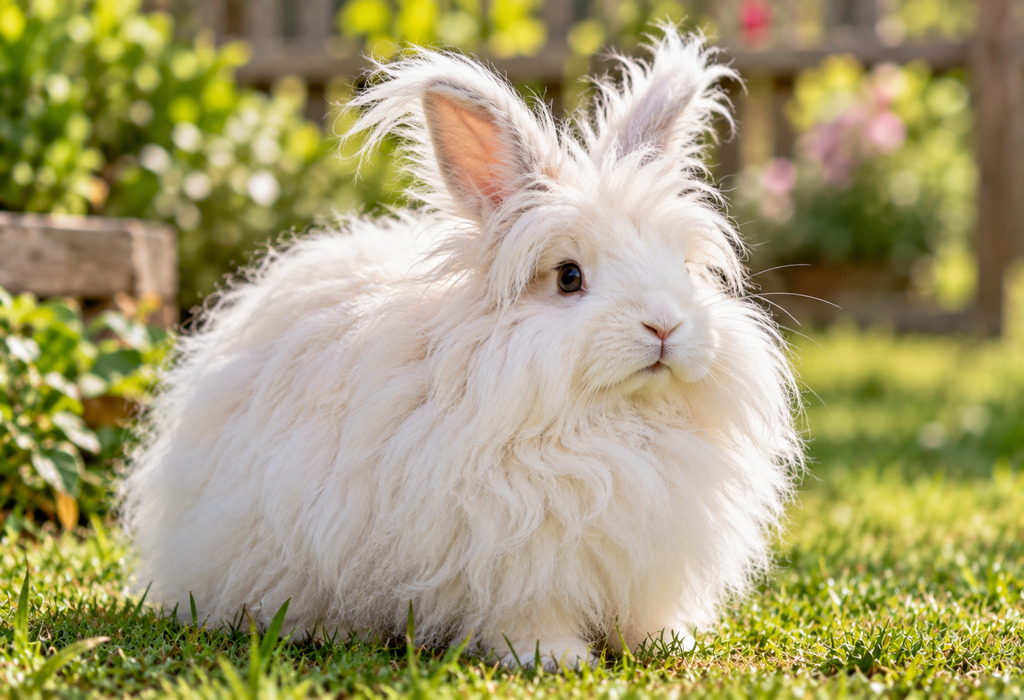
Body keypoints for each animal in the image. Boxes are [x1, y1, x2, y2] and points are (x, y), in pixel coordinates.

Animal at [121, 25, 804, 671]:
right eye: (569, 277)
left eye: (682, 269)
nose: (663, 327)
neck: (614, 422)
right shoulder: (515, 557)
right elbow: (529, 614)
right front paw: (553, 657)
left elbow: (645, 616)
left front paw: (672, 643)